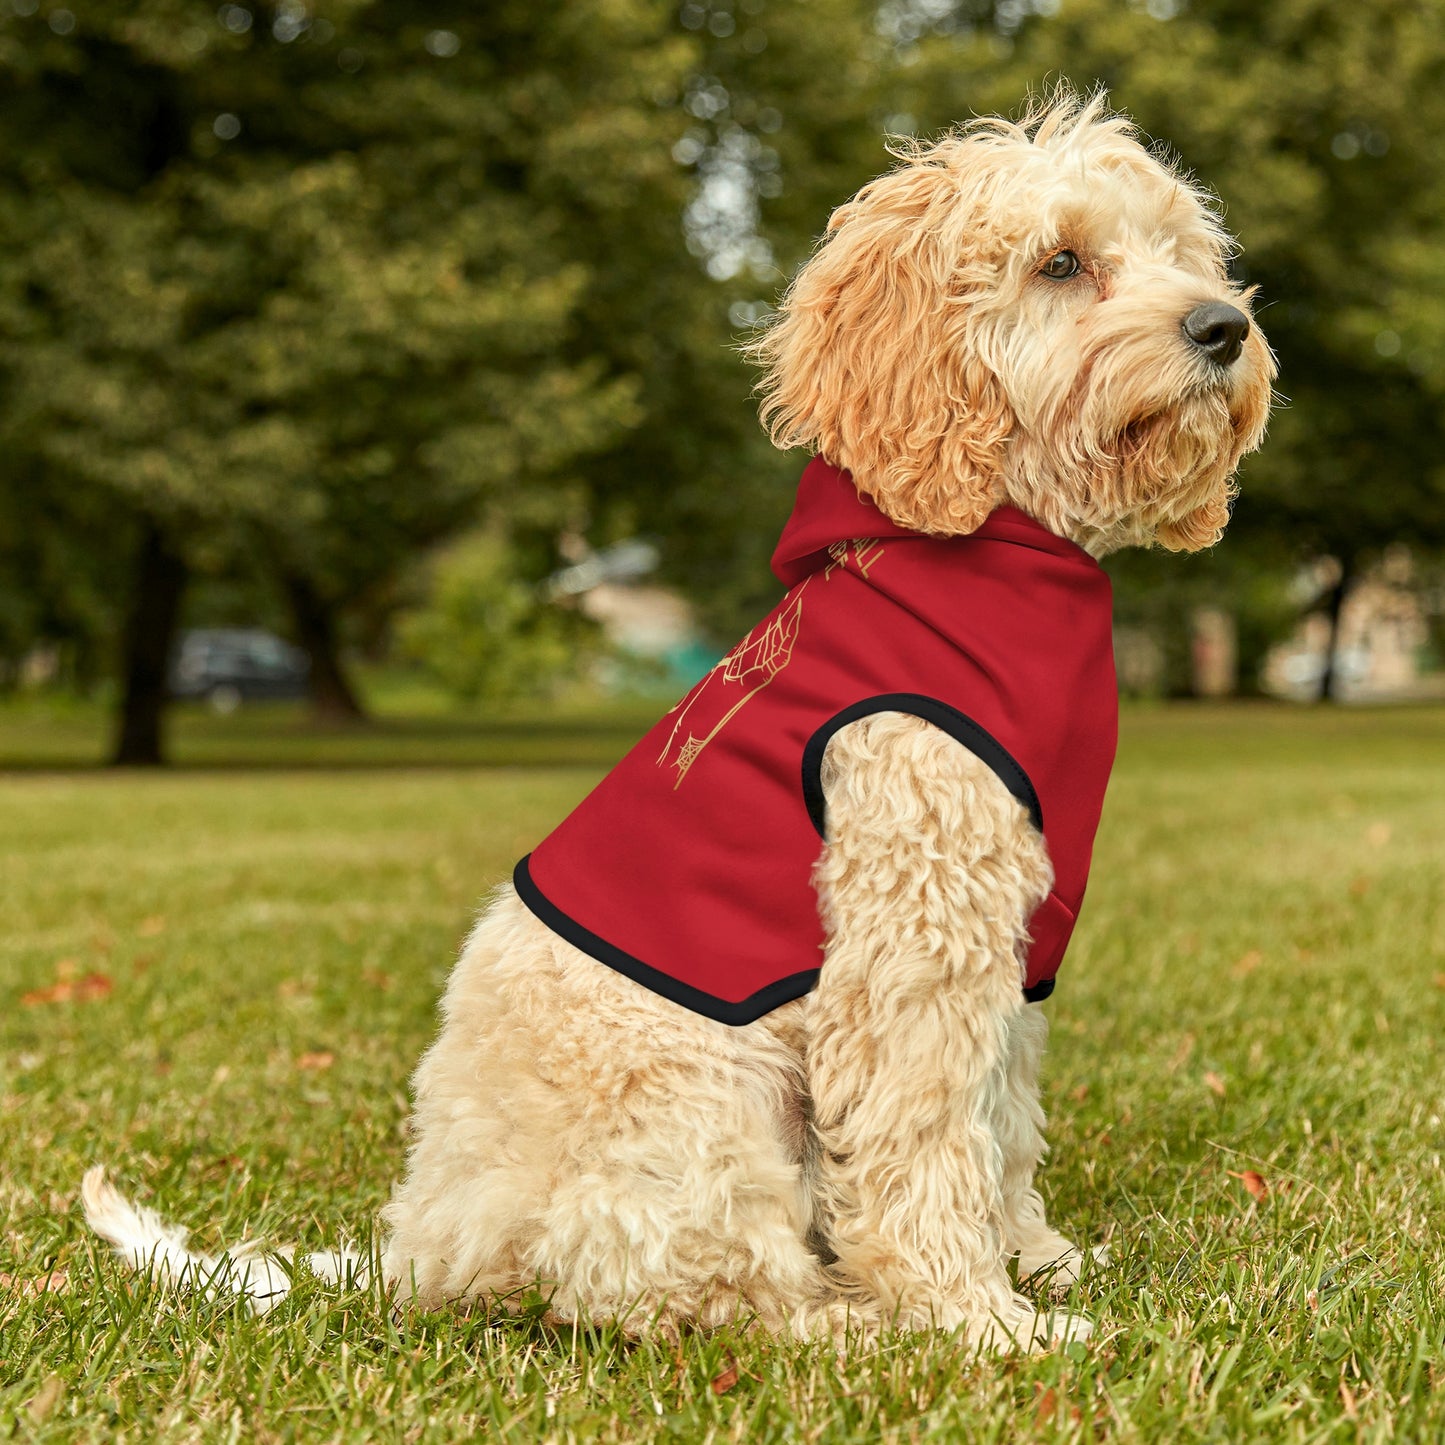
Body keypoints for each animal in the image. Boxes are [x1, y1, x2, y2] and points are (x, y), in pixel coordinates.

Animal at [84, 93, 1271, 1352]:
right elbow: (924, 1139)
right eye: (1059, 262)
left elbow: (999, 1120)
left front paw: (1034, 1259)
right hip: (704, 1102)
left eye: (1180, 252)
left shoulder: (1011, 944)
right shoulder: (912, 936)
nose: (1222, 327)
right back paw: (852, 1322)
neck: (989, 553)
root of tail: (424, 1246)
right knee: (699, 1291)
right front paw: (977, 1318)